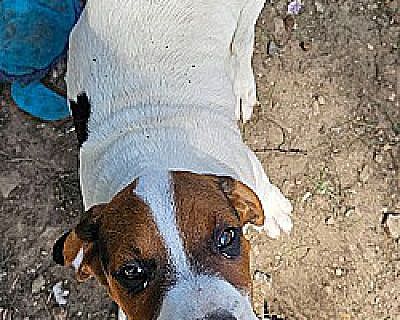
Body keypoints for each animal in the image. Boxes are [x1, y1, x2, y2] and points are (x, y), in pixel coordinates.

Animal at [52, 1, 290, 318]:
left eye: (227, 237)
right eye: (131, 271)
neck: (153, 156)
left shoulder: (243, 160)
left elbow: (260, 182)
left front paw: (274, 210)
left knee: (242, 38)